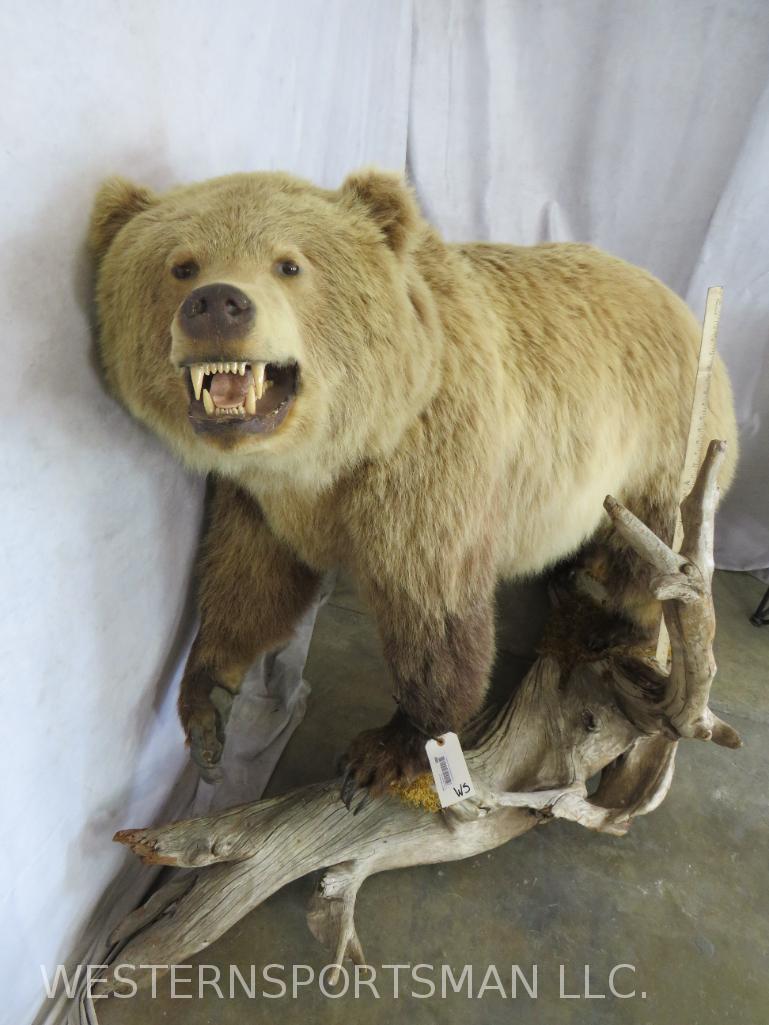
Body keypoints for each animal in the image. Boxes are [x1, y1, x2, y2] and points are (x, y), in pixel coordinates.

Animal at [88, 168, 738, 802]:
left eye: (289, 264)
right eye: (181, 265)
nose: (218, 303)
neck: (329, 455)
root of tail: (677, 298)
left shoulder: (429, 471)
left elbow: (434, 608)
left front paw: (383, 751)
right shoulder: (258, 498)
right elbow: (249, 580)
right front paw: (207, 708)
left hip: (661, 438)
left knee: (647, 543)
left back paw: (610, 619)